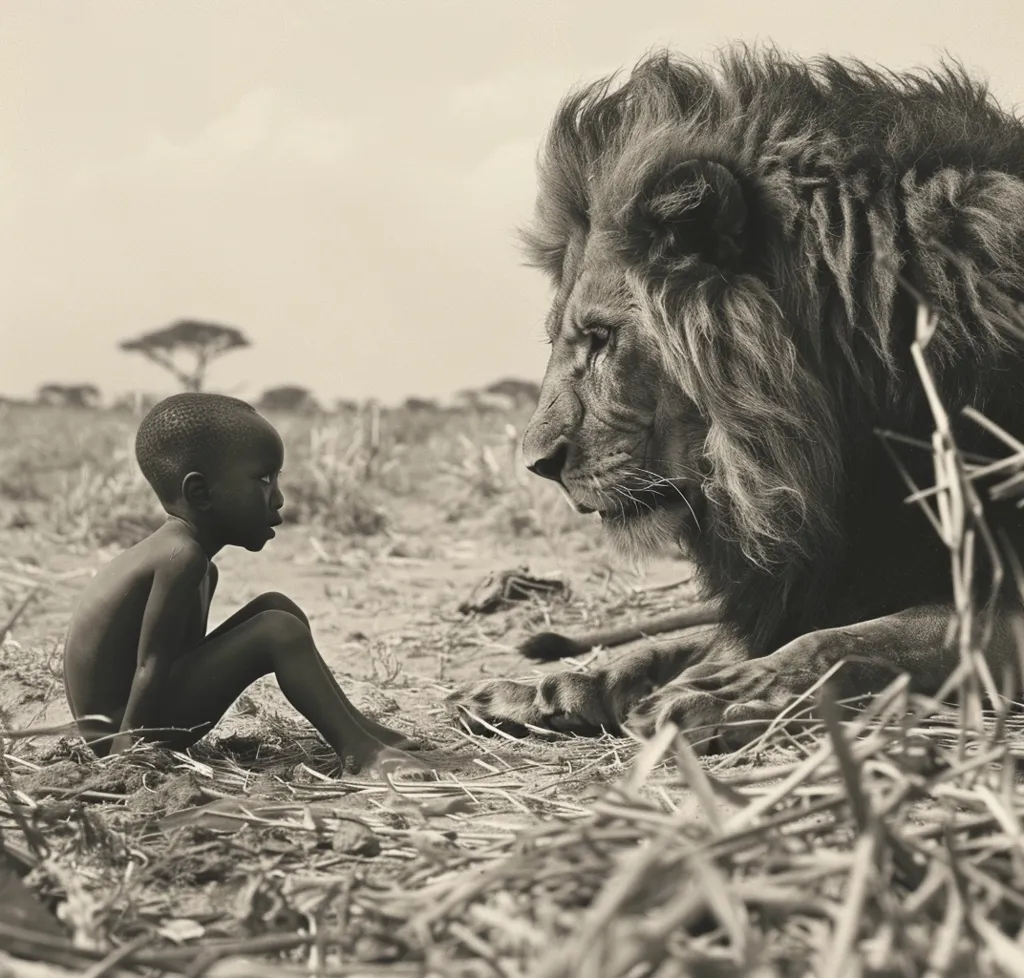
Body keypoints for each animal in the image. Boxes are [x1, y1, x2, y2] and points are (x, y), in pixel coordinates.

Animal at [446, 46, 1024, 751]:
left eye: (602, 338)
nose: (536, 465)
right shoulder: (812, 584)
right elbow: (679, 644)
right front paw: (550, 688)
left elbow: (845, 642)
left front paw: (729, 692)